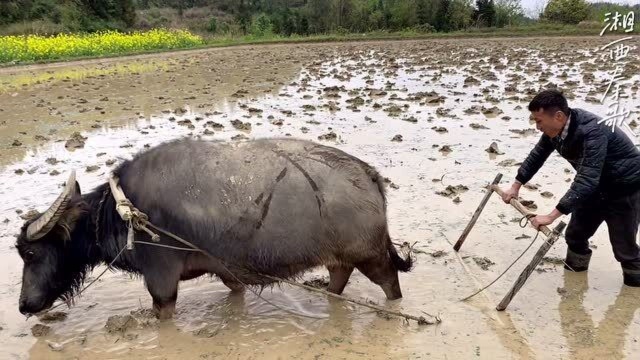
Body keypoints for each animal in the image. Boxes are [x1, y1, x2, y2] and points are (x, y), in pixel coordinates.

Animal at [17, 137, 416, 318]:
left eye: (31, 251)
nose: (23, 305)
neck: (125, 211)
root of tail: (369, 174)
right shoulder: (229, 273)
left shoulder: (161, 281)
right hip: (340, 259)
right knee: (338, 280)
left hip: (372, 255)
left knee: (391, 285)